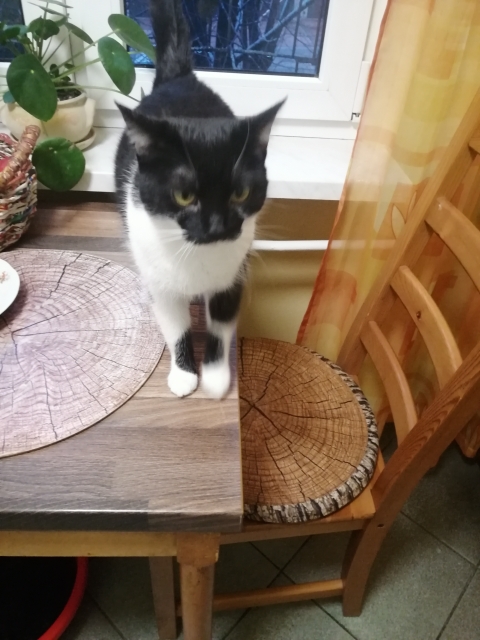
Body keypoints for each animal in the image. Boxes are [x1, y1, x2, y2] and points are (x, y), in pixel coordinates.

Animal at [115, 0, 283, 399]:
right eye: (183, 195)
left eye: (240, 192)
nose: (218, 226)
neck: (197, 256)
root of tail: (179, 78)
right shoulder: (161, 282)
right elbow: (175, 325)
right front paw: (183, 373)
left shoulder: (235, 273)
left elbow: (221, 323)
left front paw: (216, 377)